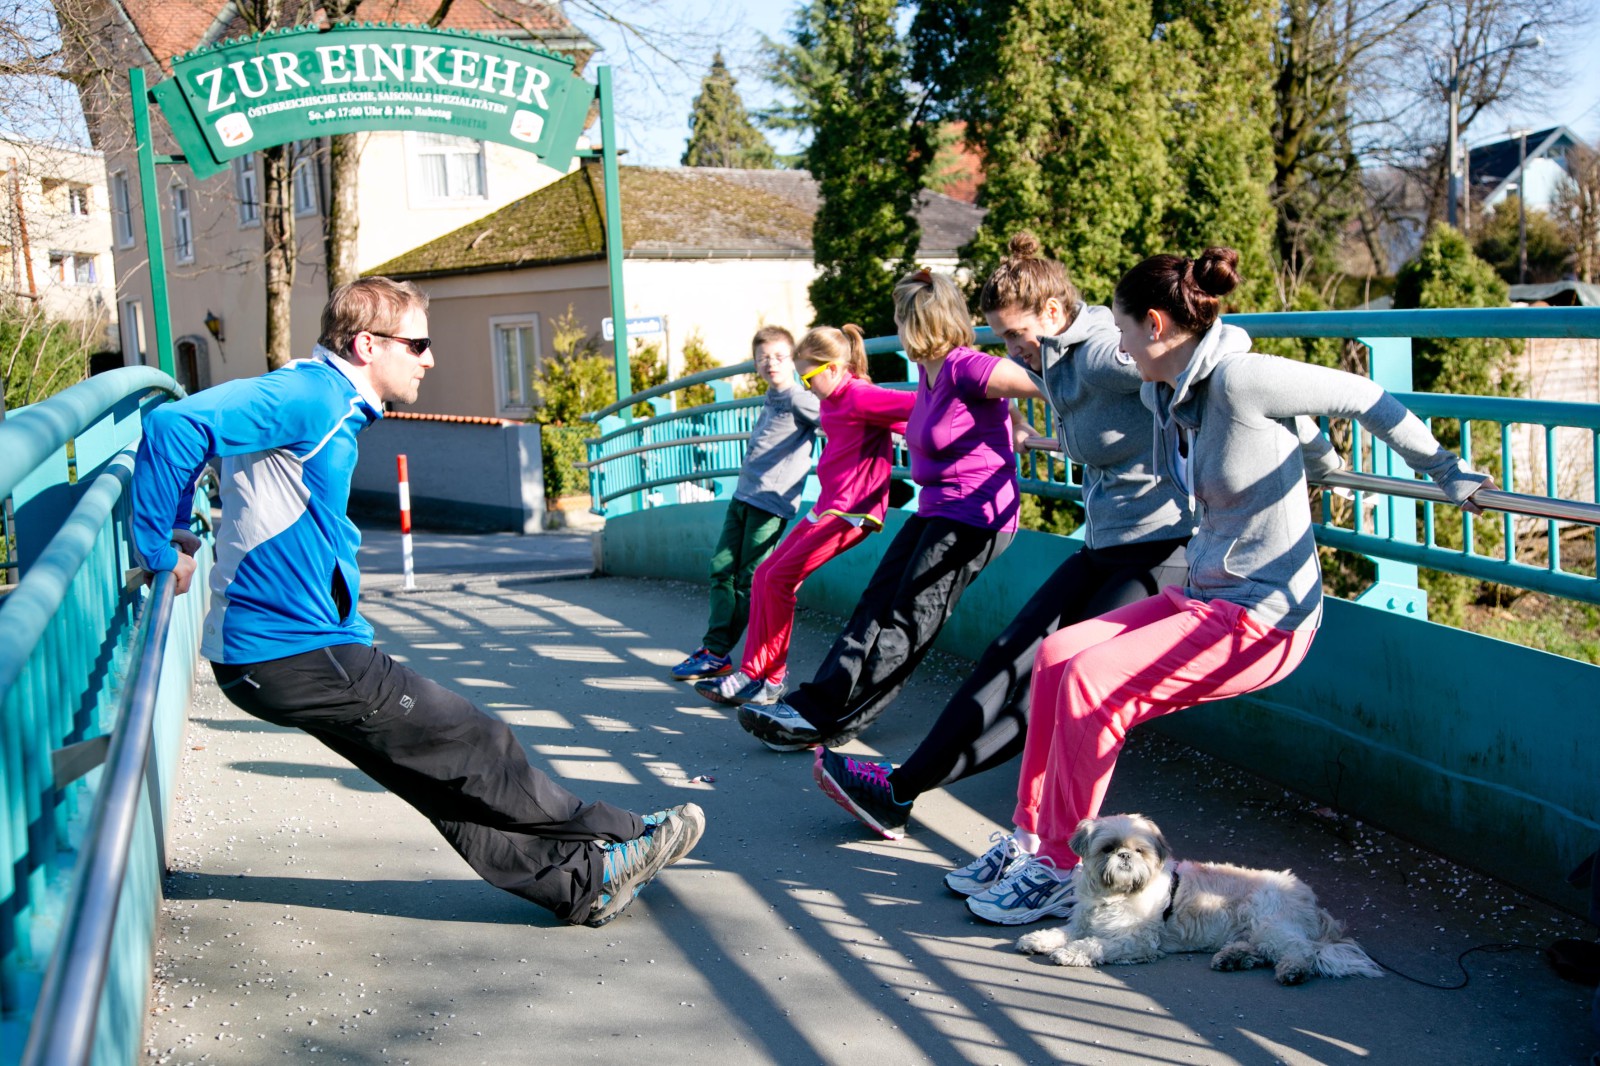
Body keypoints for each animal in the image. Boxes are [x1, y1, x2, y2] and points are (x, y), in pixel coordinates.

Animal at [1017, 813, 1382, 979]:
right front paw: (1040, 938)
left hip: (1269, 921)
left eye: (1139, 850)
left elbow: (1095, 944)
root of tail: (1311, 902)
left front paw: (1070, 952)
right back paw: (1234, 957)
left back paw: (1292, 970)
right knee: (1261, 950)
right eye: (1107, 848)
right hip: (1258, 930)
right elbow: (1064, 931)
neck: (1114, 894)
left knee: (1299, 950)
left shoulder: (1137, 940)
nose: (1124, 856)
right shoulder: (1082, 922)